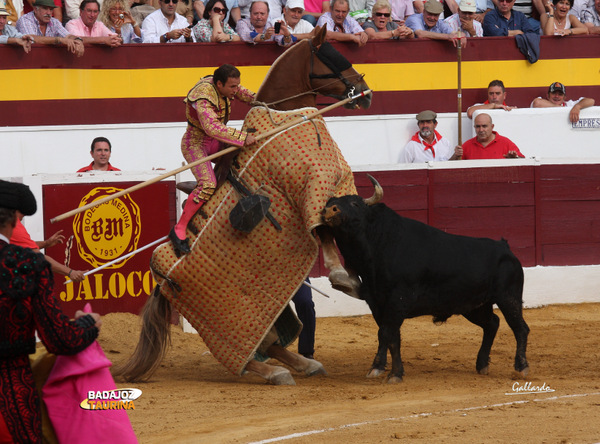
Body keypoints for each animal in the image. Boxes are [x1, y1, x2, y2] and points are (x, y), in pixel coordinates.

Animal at [113, 27, 370, 386]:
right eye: (332, 57)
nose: (365, 92)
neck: (285, 118)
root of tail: (160, 279)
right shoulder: (308, 189)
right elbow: (323, 231)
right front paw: (341, 275)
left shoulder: (333, 185)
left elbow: (333, 226)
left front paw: (350, 278)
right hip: (217, 320)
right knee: (243, 356)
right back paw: (275, 372)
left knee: (269, 341)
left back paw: (303, 364)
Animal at [324, 175, 528, 384]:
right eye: (328, 203)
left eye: (355, 203)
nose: (329, 210)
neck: (381, 243)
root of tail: (504, 247)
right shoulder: (377, 302)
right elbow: (389, 336)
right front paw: (380, 368)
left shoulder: (398, 300)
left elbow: (388, 333)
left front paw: (393, 373)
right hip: (475, 305)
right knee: (492, 324)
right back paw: (482, 365)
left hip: (508, 297)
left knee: (520, 328)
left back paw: (520, 368)